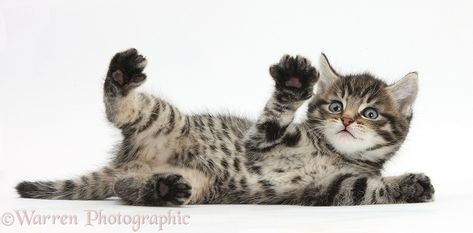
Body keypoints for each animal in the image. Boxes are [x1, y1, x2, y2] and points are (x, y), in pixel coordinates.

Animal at [14, 48, 434, 206]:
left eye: (370, 114)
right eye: (335, 106)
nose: (346, 120)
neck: (329, 152)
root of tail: (128, 161)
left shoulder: (333, 187)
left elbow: (369, 189)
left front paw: (411, 186)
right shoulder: (259, 140)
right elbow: (274, 117)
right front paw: (293, 84)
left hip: (200, 184)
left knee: (124, 188)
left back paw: (159, 189)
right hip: (162, 117)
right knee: (120, 110)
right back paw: (120, 73)